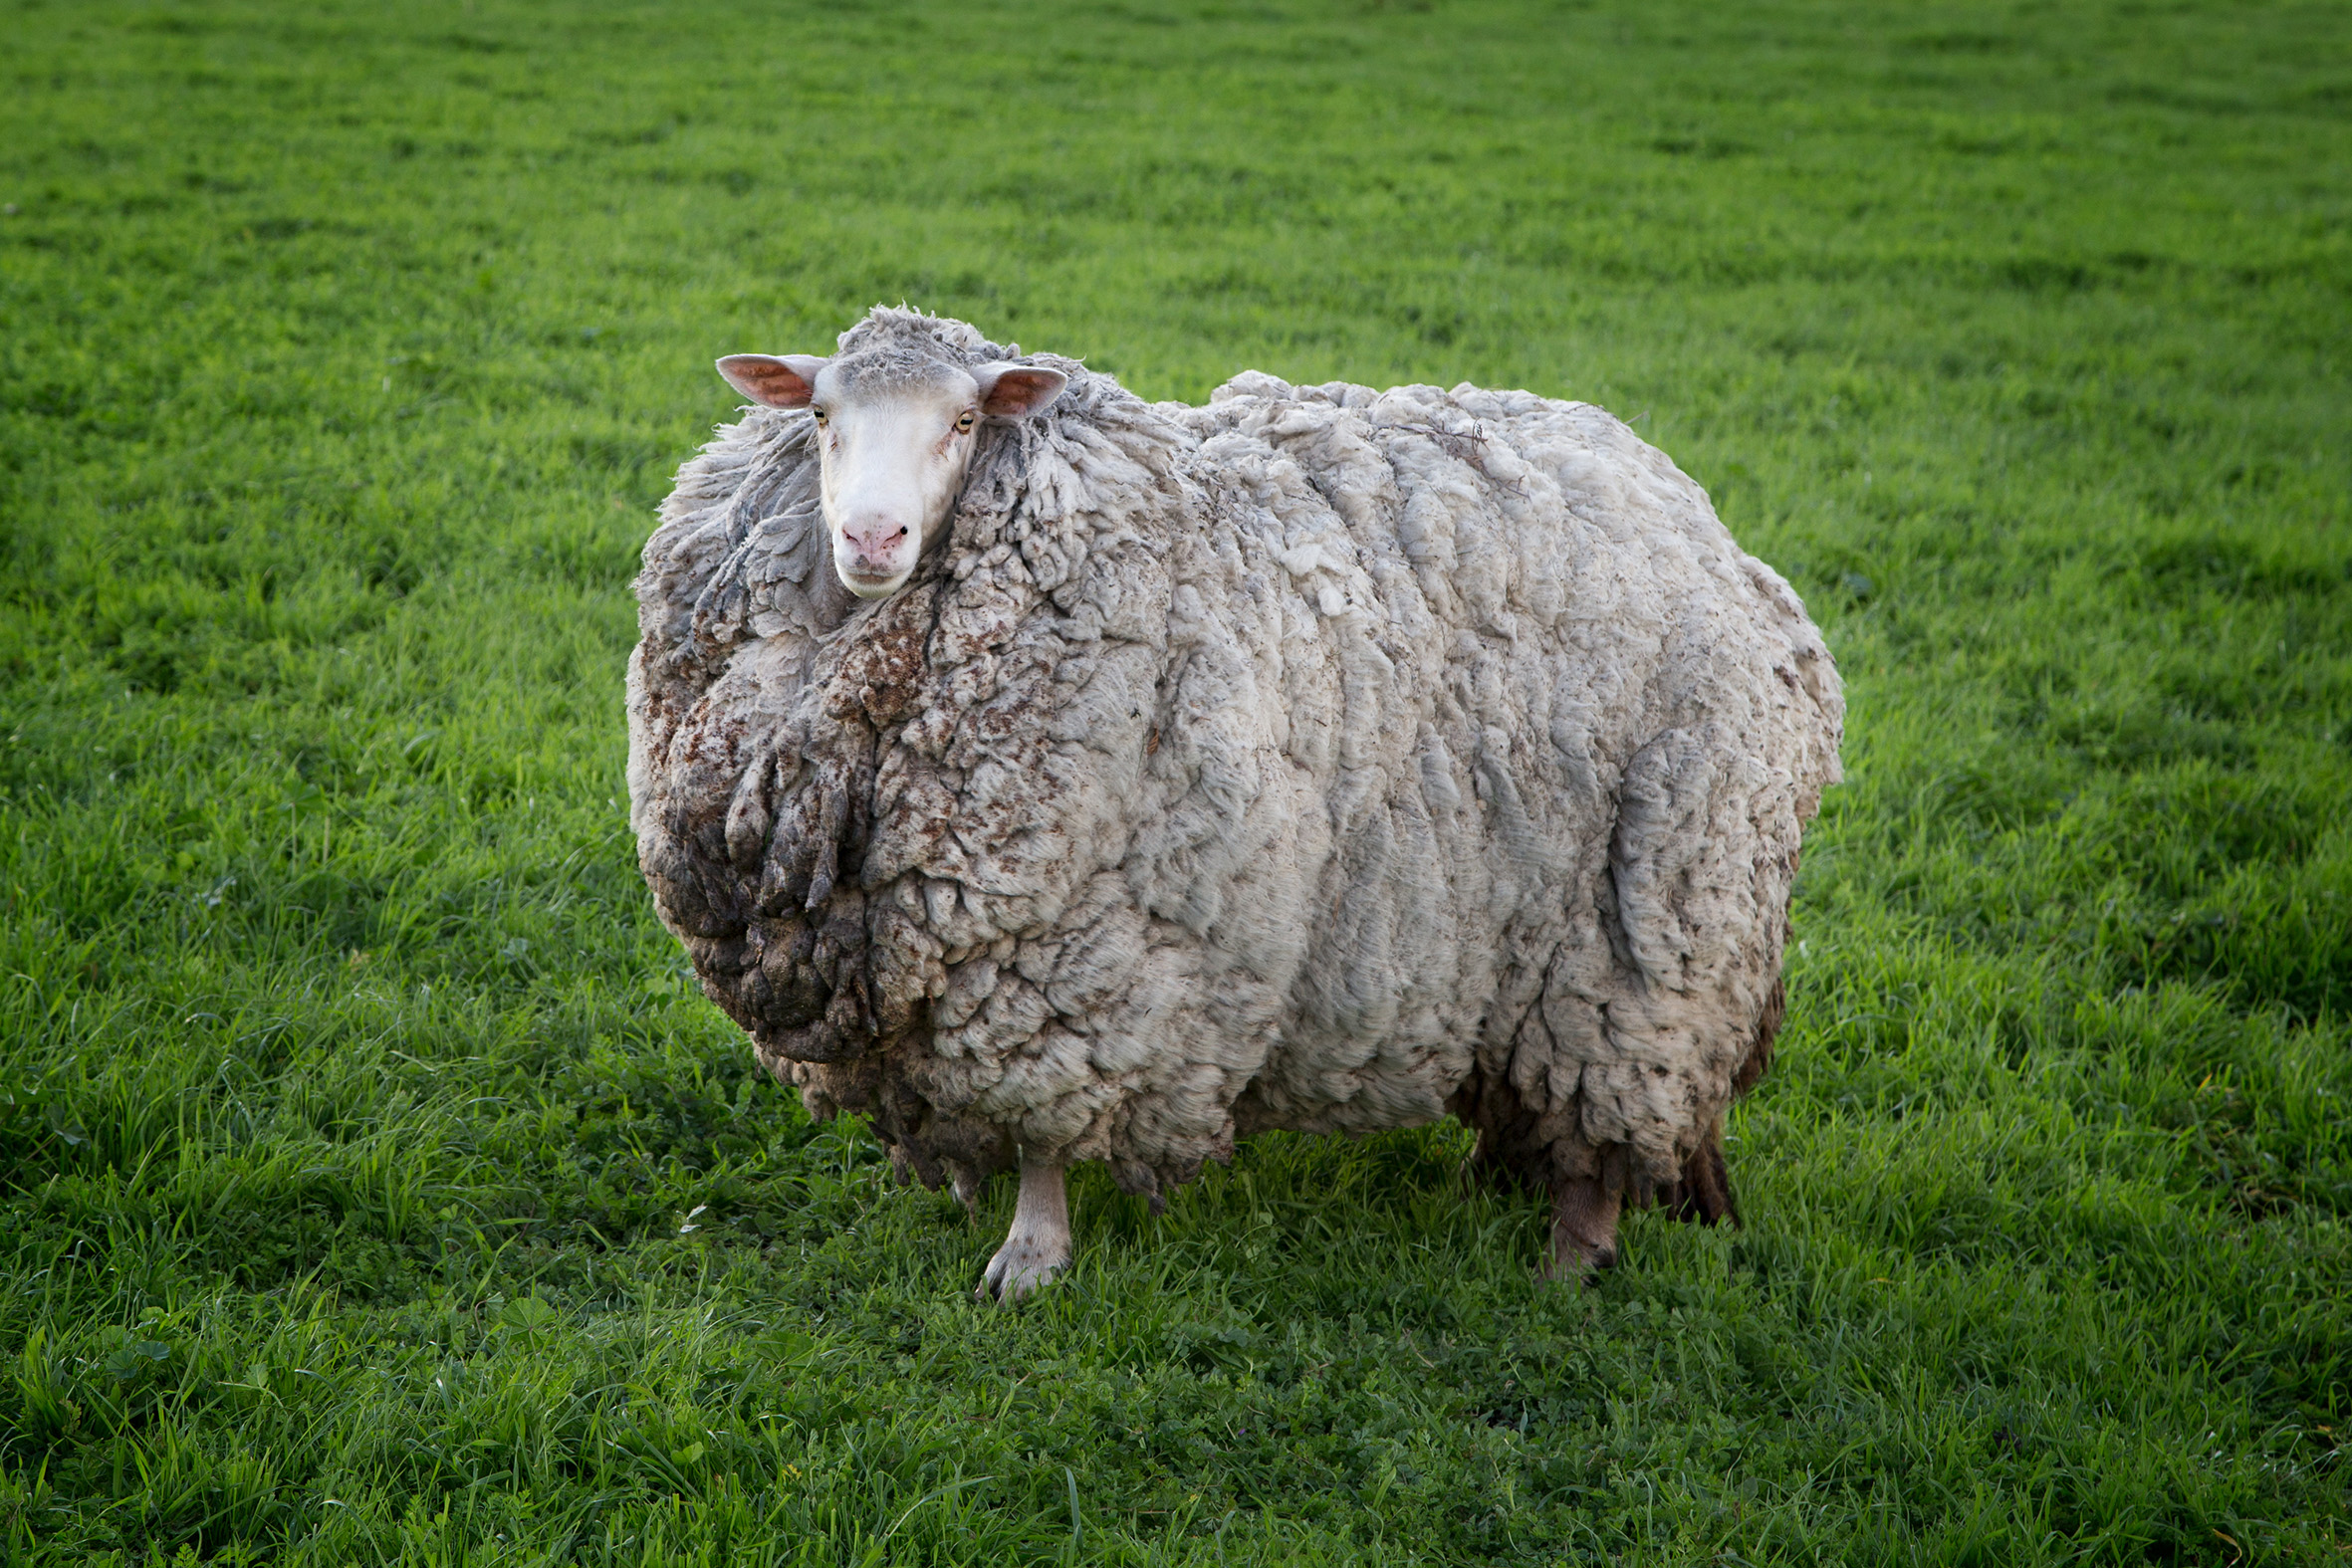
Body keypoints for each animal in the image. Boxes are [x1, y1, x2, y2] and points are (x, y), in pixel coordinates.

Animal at [625, 305, 1834, 1297]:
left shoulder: (1085, 953)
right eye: (821, 415)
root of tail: (1696, 515)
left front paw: (1032, 1255)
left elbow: (1045, 1129)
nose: (872, 538)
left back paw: (1572, 1260)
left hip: (1647, 934)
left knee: (1610, 1111)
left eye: (965, 423)